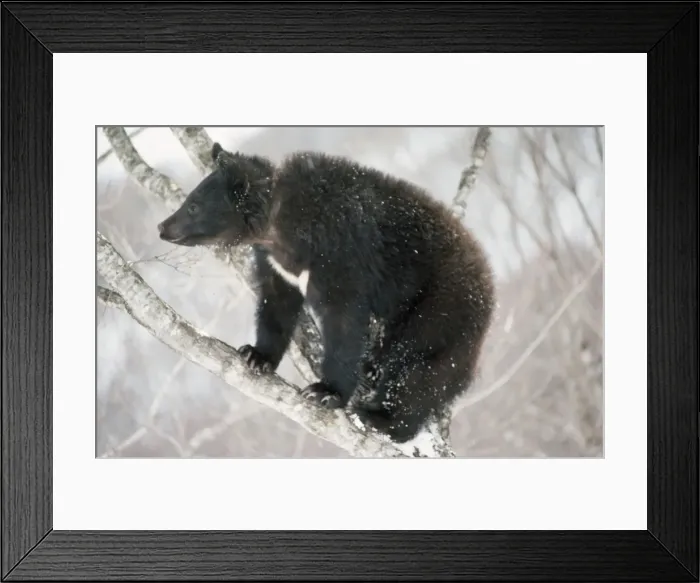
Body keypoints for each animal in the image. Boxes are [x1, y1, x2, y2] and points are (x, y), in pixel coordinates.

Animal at [157, 142, 496, 443]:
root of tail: (488, 288)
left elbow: (343, 321)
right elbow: (276, 304)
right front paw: (256, 355)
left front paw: (326, 391)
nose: (163, 226)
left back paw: (383, 419)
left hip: (438, 307)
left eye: (194, 205)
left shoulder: (340, 256)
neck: (280, 230)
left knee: (418, 367)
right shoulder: (277, 265)